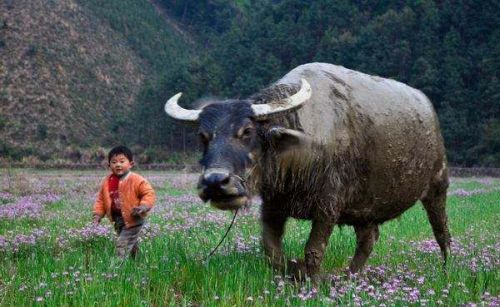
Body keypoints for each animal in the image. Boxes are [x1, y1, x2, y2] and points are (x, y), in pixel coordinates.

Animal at [164, 62, 450, 282]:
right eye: (203, 137)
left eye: (247, 131)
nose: (215, 182)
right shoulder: (273, 205)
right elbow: (270, 250)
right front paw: (292, 271)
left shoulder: (328, 207)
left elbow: (313, 251)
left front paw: (310, 278)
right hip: (365, 209)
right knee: (367, 241)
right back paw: (350, 276)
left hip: (438, 185)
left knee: (442, 232)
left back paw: (446, 268)